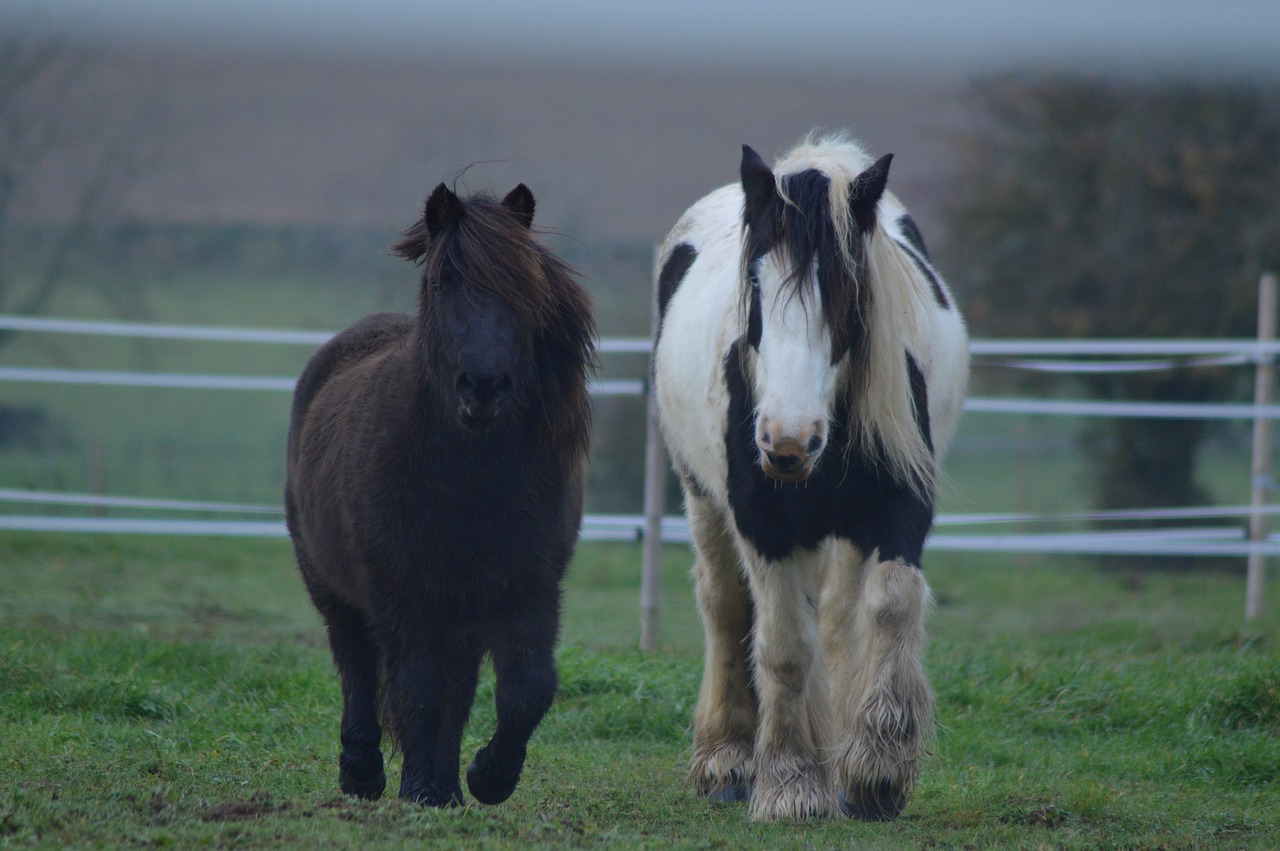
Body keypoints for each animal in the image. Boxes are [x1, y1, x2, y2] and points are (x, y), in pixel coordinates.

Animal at [285, 182, 593, 808]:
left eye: (523, 288)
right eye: (441, 284)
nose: (482, 386)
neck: (471, 482)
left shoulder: (529, 589)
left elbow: (527, 690)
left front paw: (486, 779)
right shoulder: (406, 595)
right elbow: (418, 694)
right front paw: (417, 788)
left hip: (464, 614)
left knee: (457, 687)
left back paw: (446, 785)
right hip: (333, 587)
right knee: (357, 665)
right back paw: (363, 772)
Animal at [655, 136, 962, 819]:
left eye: (848, 288)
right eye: (753, 283)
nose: (787, 443)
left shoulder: (904, 505)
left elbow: (893, 601)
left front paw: (876, 769)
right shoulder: (763, 522)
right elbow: (785, 646)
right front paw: (791, 782)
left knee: (842, 616)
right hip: (701, 499)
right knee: (725, 605)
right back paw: (728, 759)